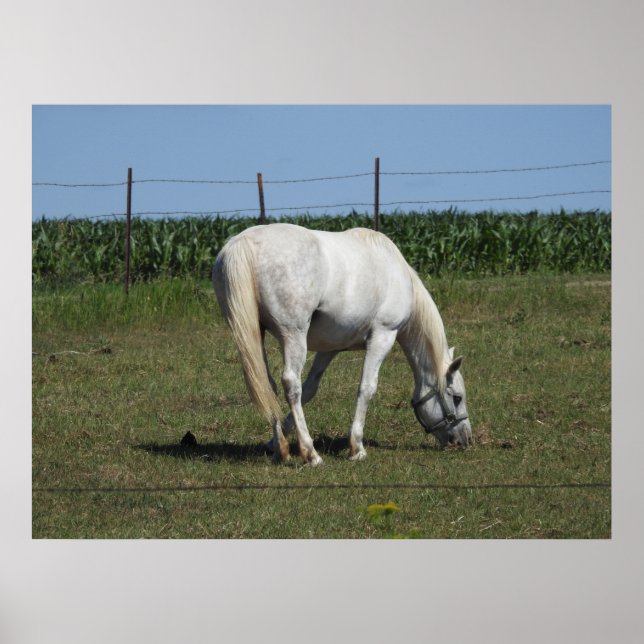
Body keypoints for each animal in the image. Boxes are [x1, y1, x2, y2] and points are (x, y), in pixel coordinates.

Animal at [212, 223, 472, 466]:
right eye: (457, 397)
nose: (465, 440)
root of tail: (245, 242)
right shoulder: (383, 336)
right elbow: (366, 388)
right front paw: (356, 447)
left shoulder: (330, 348)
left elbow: (310, 388)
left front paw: (273, 442)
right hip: (293, 336)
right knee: (290, 383)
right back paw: (311, 453)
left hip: (255, 335)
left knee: (268, 385)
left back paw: (281, 449)